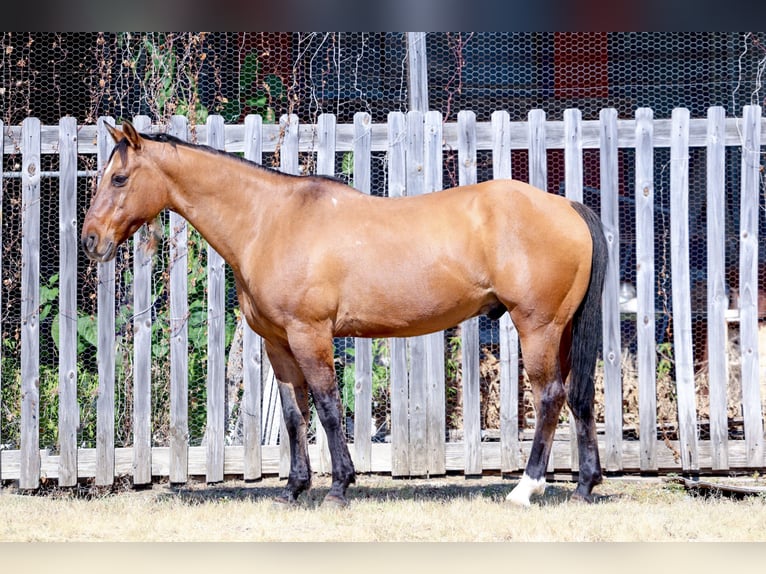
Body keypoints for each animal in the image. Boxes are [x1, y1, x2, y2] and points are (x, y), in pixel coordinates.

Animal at [81, 120, 608, 508]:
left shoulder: (309, 335)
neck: (269, 221)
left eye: (119, 178)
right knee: (579, 397)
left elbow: (329, 408)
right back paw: (584, 485)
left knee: (550, 397)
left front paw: (338, 486)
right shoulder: (278, 344)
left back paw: (526, 488)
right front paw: (293, 489)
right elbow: (295, 416)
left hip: (537, 327)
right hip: (561, 331)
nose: (90, 240)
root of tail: (566, 206)